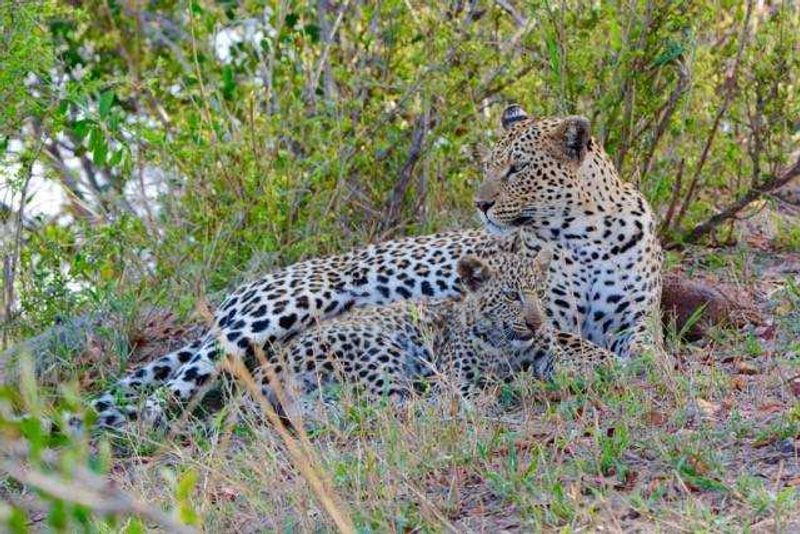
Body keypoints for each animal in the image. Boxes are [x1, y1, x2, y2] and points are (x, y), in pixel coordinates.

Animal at [91, 105, 662, 429]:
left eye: (517, 168)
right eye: (487, 166)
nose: (479, 204)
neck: (589, 233)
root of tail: (241, 291)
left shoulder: (639, 320)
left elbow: (649, 353)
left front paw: (641, 367)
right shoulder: (550, 322)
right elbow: (576, 344)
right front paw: (606, 368)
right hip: (279, 310)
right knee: (164, 395)